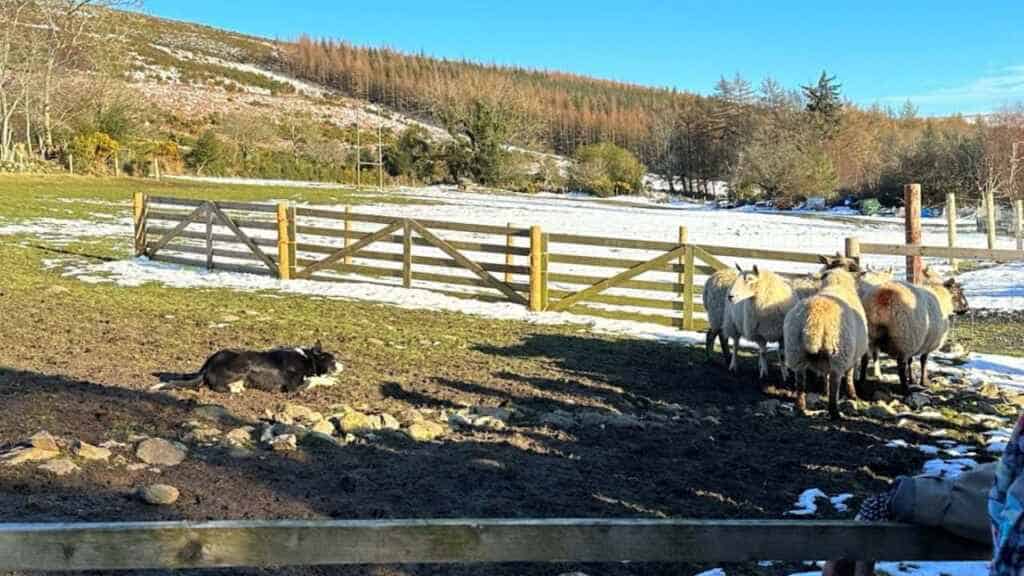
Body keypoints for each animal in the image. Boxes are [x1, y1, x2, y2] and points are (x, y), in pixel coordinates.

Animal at [783, 268, 869, 420]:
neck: (837, 284)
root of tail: (814, 319)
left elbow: (825, 376)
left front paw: (824, 390)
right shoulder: (853, 356)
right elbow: (849, 376)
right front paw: (852, 395)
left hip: (795, 351)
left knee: (800, 382)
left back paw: (800, 408)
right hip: (840, 354)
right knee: (835, 382)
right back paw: (835, 412)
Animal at [857, 267, 969, 395]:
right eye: (958, 292)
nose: (967, 308)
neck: (941, 297)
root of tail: (882, 298)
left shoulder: (917, 339)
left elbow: (911, 361)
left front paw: (912, 379)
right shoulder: (926, 341)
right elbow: (923, 361)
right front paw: (923, 381)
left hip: (871, 334)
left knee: (865, 360)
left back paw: (861, 384)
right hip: (904, 337)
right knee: (901, 366)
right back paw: (905, 389)